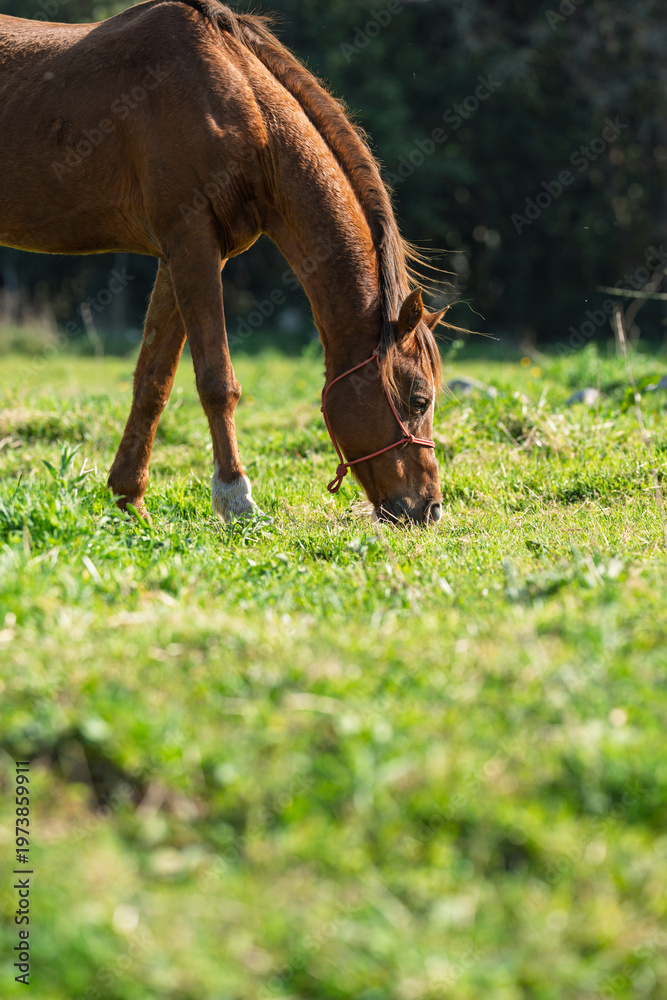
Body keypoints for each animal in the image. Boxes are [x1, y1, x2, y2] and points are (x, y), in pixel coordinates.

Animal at [0, 0, 449, 525]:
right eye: (418, 398)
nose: (430, 508)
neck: (239, 106)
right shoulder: (192, 245)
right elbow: (217, 382)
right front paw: (236, 498)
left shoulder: (178, 258)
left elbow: (153, 383)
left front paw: (130, 501)